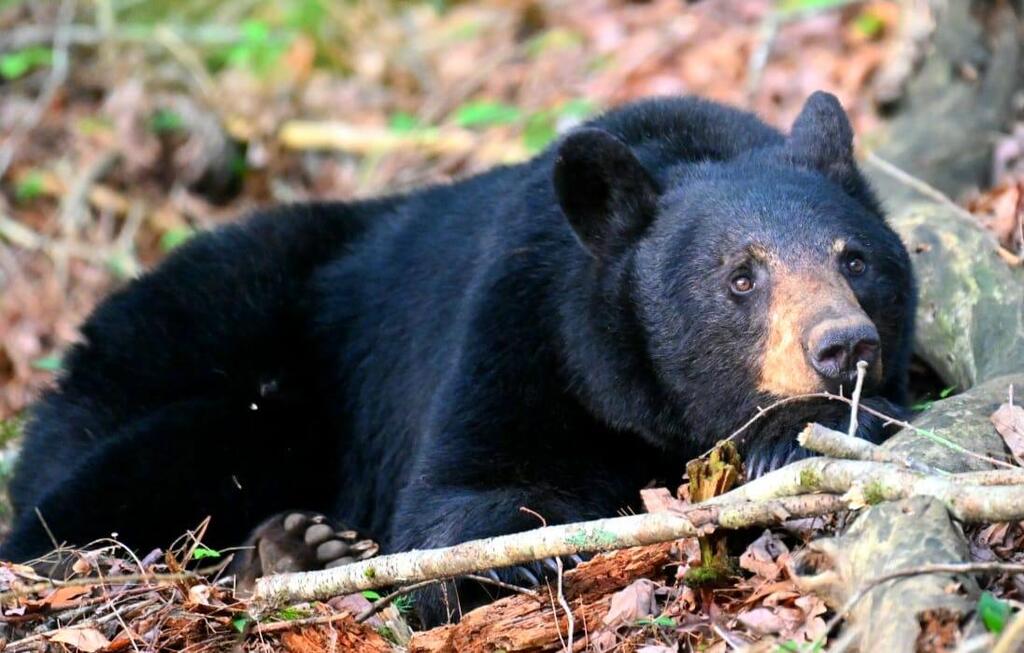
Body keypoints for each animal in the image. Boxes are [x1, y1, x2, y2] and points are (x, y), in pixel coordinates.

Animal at [1, 91, 915, 626]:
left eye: (855, 259)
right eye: (741, 276)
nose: (842, 345)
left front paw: (799, 433)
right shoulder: (517, 325)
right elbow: (459, 498)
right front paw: (539, 539)